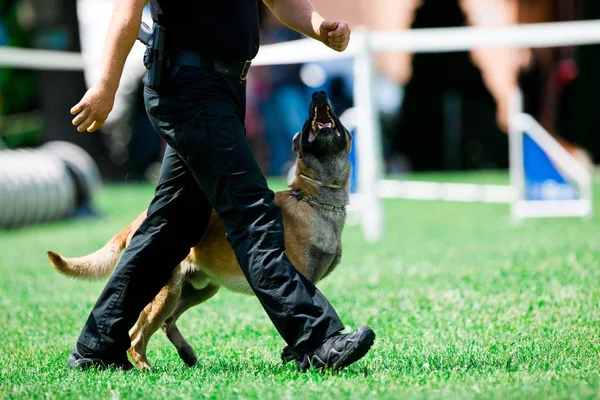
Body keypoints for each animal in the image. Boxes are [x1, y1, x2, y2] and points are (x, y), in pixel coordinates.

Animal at [50, 90, 356, 368]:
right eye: (305, 124)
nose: (318, 93)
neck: (313, 198)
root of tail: (139, 219)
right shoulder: (299, 275)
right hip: (167, 291)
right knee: (136, 336)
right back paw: (145, 369)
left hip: (199, 289)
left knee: (166, 324)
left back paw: (186, 354)